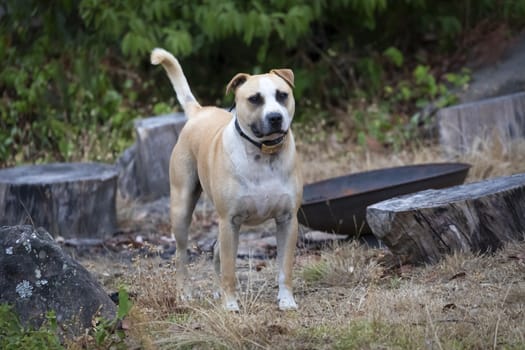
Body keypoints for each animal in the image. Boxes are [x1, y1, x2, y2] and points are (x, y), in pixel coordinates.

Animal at [149, 47, 300, 312]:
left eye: (282, 95)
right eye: (254, 99)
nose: (275, 117)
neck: (263, 153)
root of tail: (200, 112)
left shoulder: (288, 220)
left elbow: (285, 268)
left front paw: (286, 300)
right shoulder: (229, 221)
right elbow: (230, 268)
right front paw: (230, 305)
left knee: (216, 250)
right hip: (182, 208)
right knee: (181, 253)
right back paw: (185, 293)